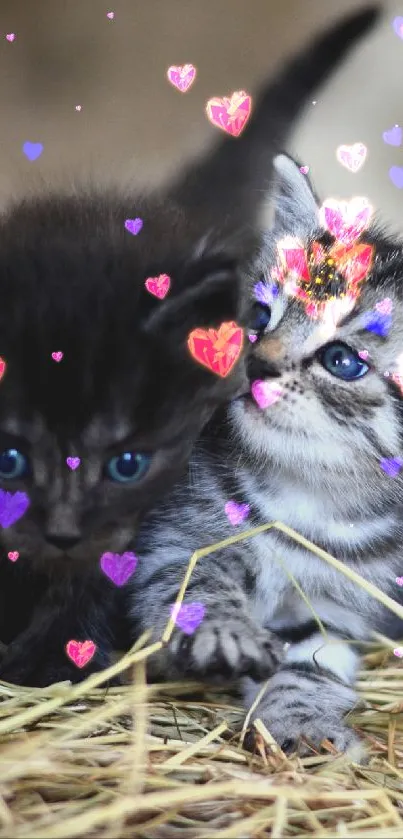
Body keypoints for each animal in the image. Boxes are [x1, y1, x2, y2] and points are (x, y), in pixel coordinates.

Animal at [131, 156, 403, 756]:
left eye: (342, 360)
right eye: (259, 315)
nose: (257, 363)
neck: (310, 496)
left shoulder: (339, 605)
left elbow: (311, 661)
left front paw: (304, 723)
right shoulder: (171, 537)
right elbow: (193, 579)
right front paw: (222, 630)